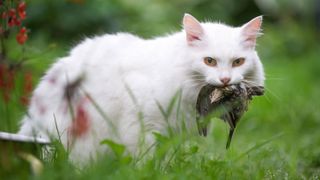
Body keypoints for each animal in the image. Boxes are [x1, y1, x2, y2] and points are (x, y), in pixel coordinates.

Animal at [18, 13, 264, 166]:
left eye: (238, 62)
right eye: (209, 61)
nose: (225, 79)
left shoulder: (169, 129)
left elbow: (161, 156)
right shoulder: (142, 123)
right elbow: (144, 157)